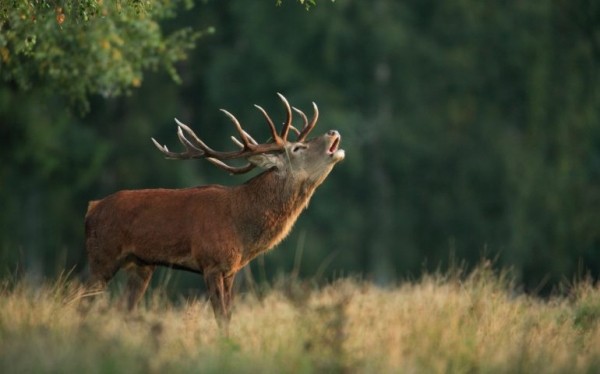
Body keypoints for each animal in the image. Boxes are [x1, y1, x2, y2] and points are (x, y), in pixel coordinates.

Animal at [85, 94, 346, 334]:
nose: (333, 131)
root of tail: (91, 208)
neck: (242, 227)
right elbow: (220, 318)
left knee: (123, 308)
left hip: (141, 265)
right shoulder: (211, 262)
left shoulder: (230, 270)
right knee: (84, 301)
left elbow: (228, 317)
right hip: (102, 256)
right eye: (297, 148)